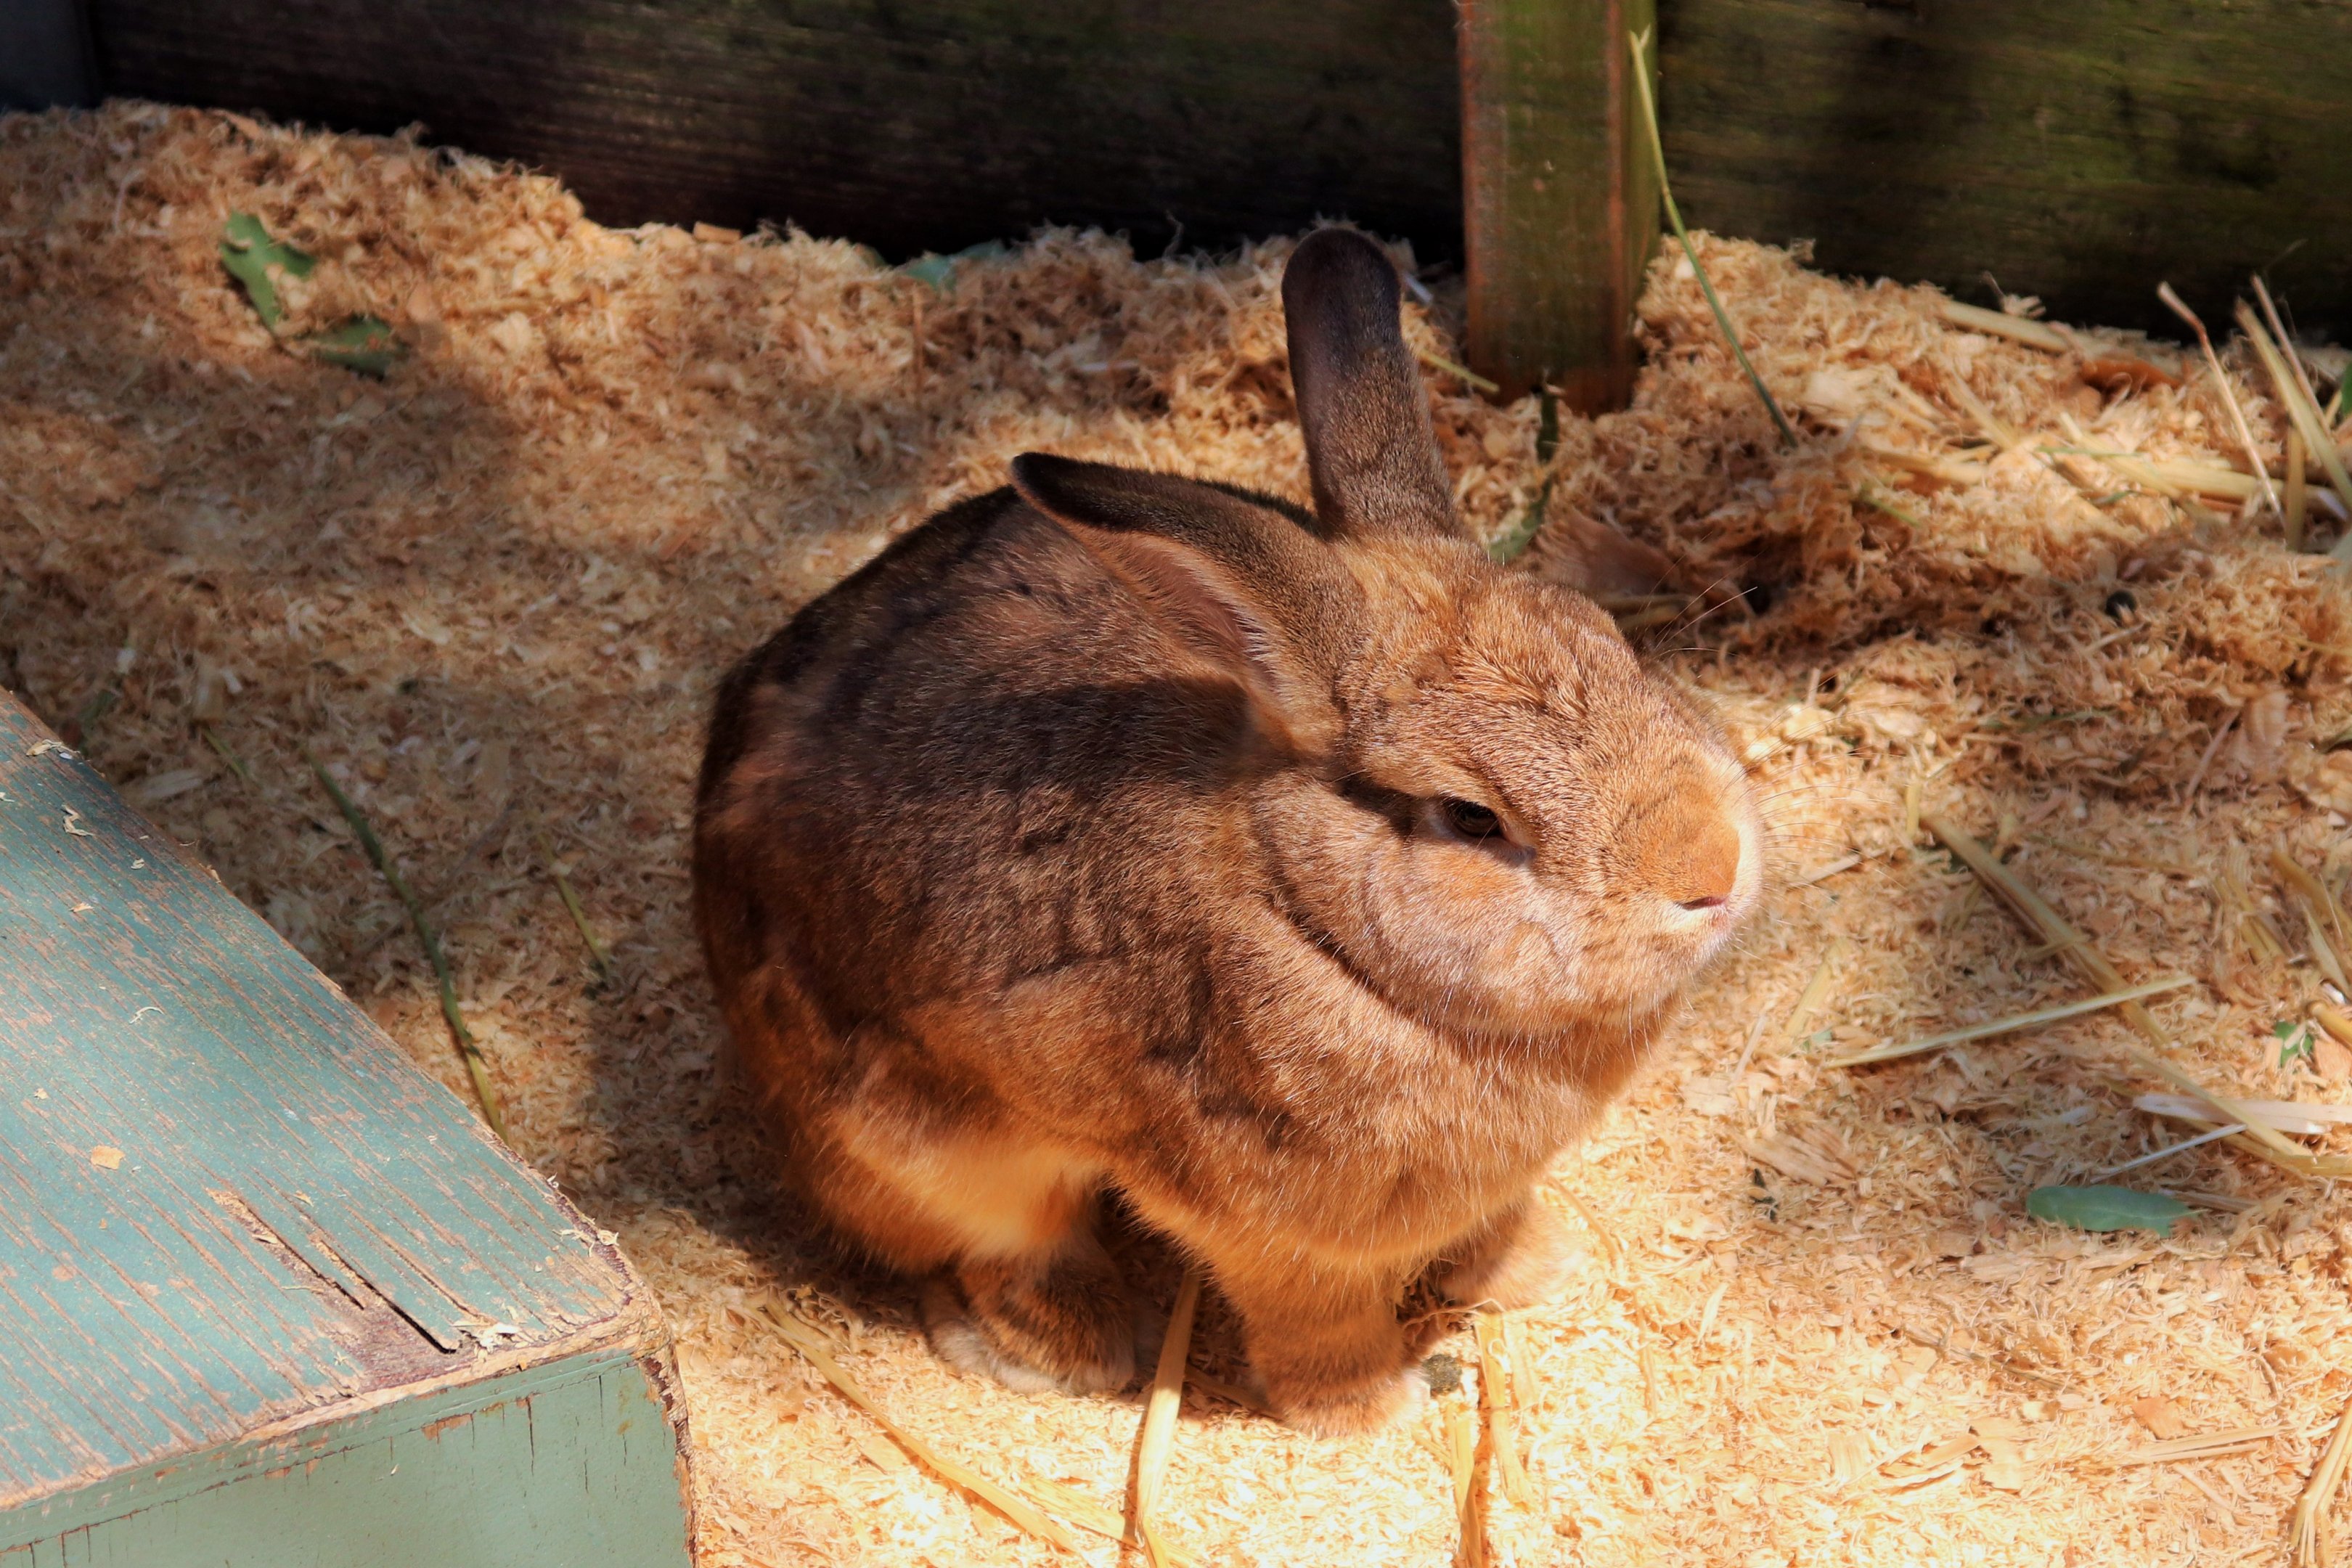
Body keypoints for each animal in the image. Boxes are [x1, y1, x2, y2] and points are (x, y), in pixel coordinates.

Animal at [693, 226, 1763, 1436]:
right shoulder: (1275, 1224)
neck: (1307, 915)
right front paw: (1369, 1413)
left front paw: (1538, 1264)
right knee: (994, 1245)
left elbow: (1484, 1232)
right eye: (1469, 817)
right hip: (927, 1147)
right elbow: (1314, 1321)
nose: (1712, 868)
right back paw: (1068, 1351)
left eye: (1613, 646)